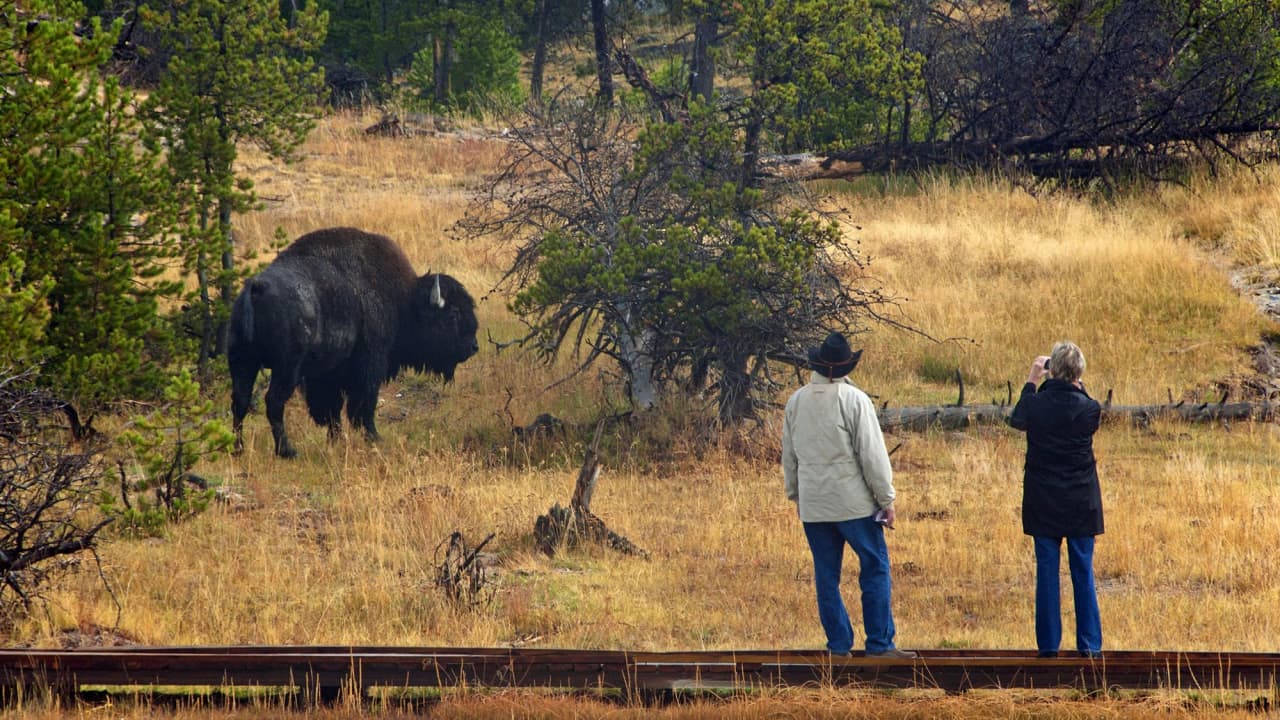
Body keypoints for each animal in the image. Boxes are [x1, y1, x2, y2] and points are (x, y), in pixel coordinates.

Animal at [225, 226, 481, 456]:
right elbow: (363, 405)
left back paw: (237, 449)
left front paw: (336, 440)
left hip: (242, 361)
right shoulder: (368, 365)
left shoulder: (325, 374)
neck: (403, 299)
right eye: (454, 313)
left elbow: (331, 409)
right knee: (273, 402)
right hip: (286, 368)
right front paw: (374, 437)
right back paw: (286, 451)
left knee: (240, 401)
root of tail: (256, 289)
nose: (473, 346)